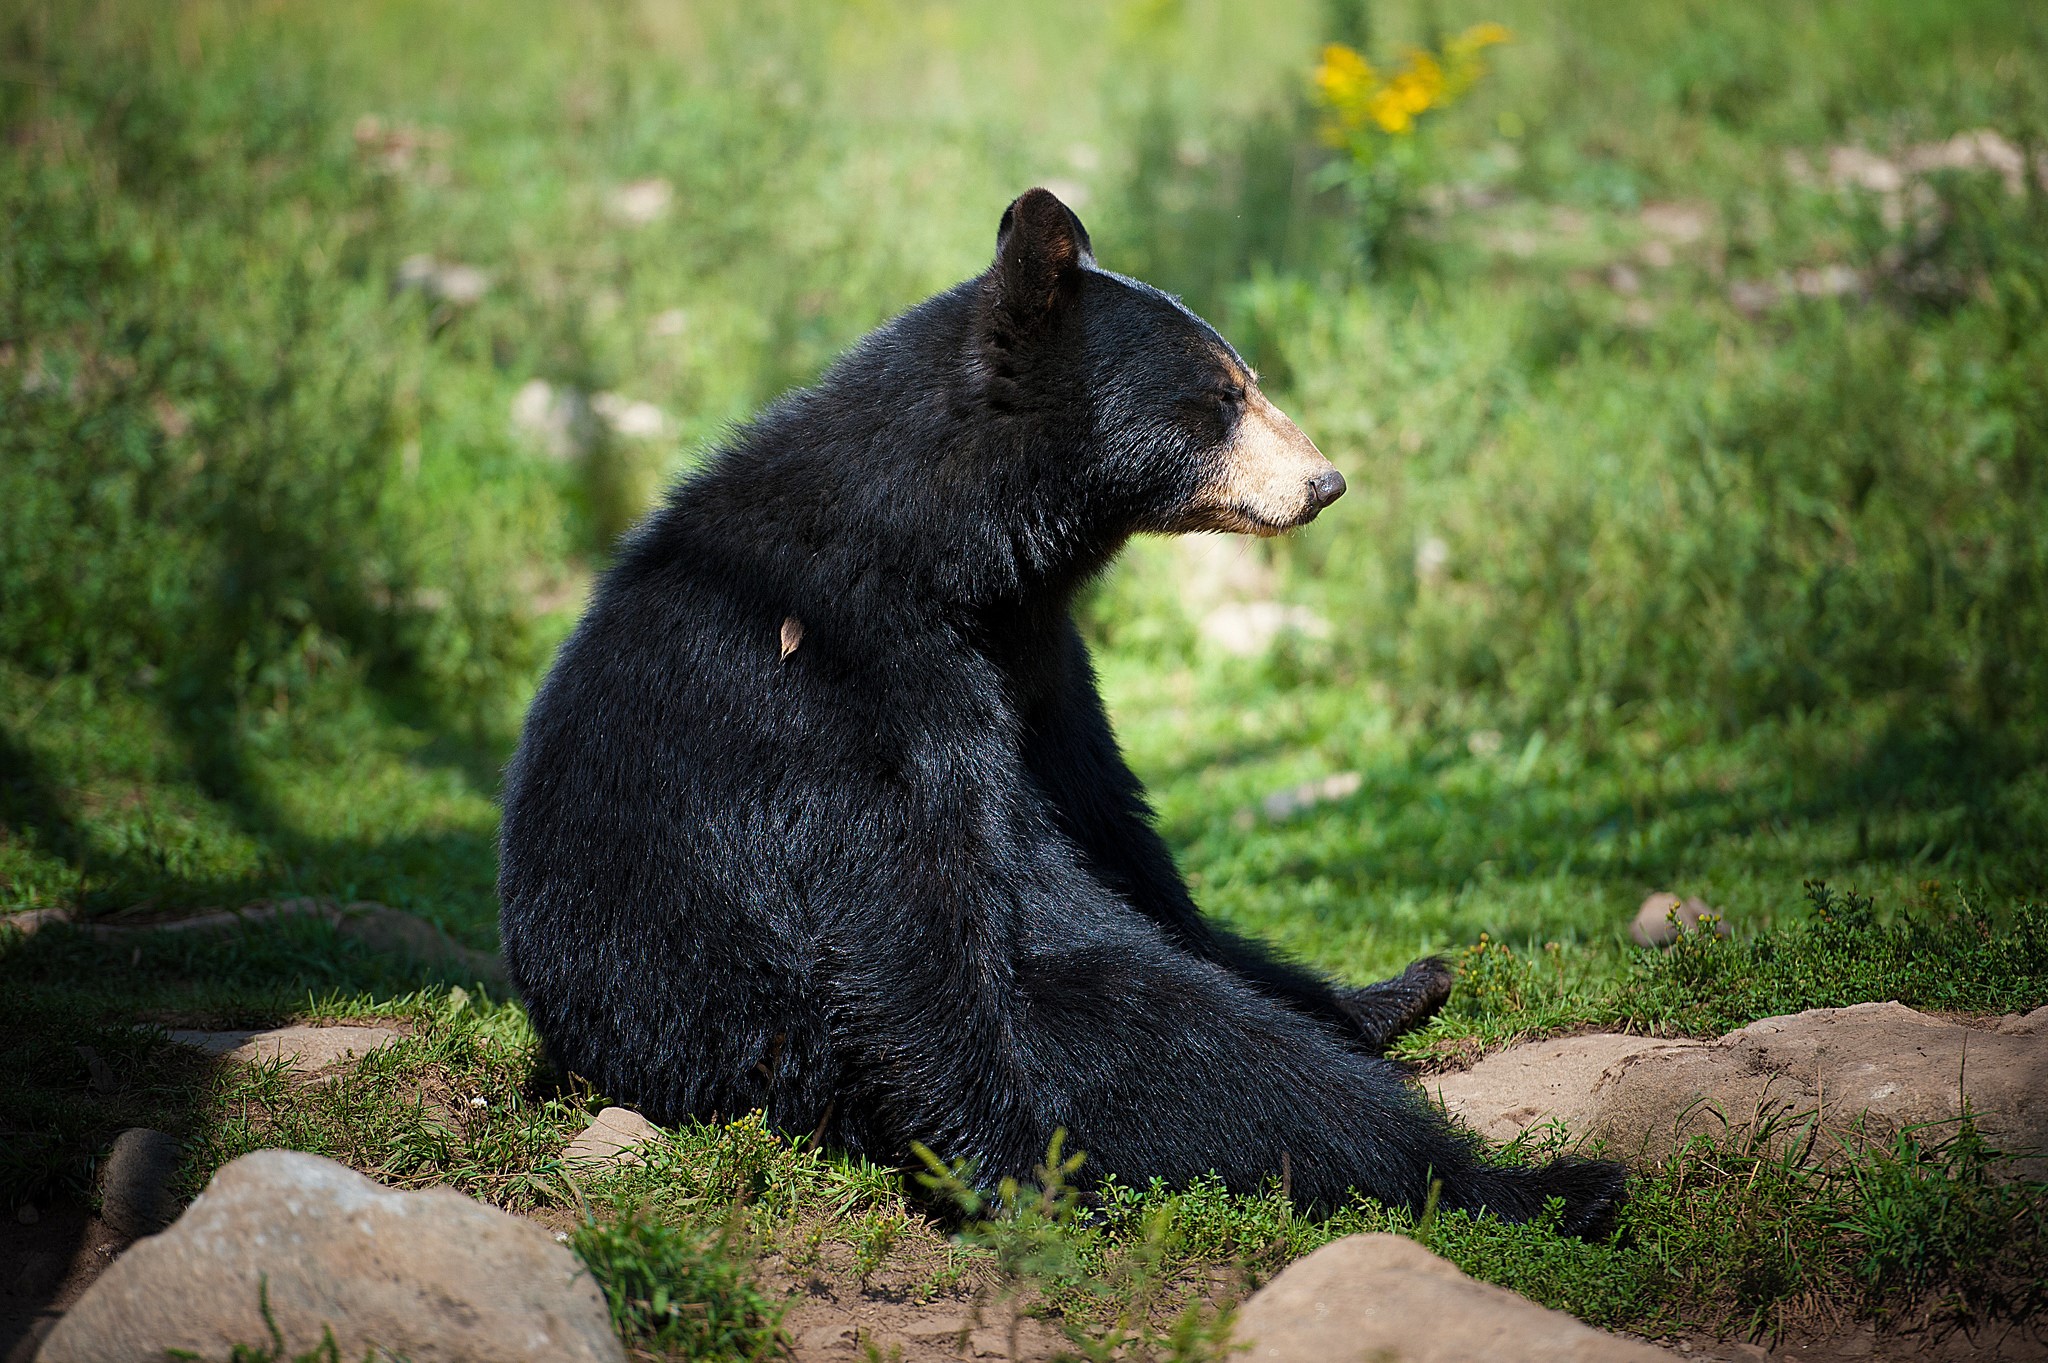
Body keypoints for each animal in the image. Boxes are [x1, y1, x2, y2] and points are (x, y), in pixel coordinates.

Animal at [498, 188, 1625, 1233]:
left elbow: (1112, 827)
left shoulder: (1038, 662)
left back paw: (1397, 992)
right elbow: (906, 920)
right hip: (774, 1044)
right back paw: (1544, 1184)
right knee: (1204, 1054)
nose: (1324, 481)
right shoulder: (843, 686)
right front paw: (1016, 1178)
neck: (954, 557)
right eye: (1221, 395)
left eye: (1248, 379)